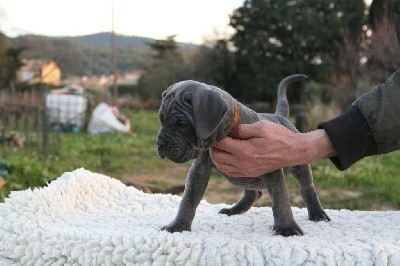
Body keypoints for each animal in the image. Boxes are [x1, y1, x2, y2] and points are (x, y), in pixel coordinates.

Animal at [158, 75, 330, 237]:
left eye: (182, 124)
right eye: (161, 120)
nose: (160, 144)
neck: (227, 131)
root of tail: (280, 116)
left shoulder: (270, 167)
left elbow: (280, 199)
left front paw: (287, 227)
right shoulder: (200, 169)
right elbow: (189, 198)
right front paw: (179, 225)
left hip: (300, 165)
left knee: (307, 187)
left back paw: (317, 213)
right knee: (253, 192)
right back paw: (234, 210)